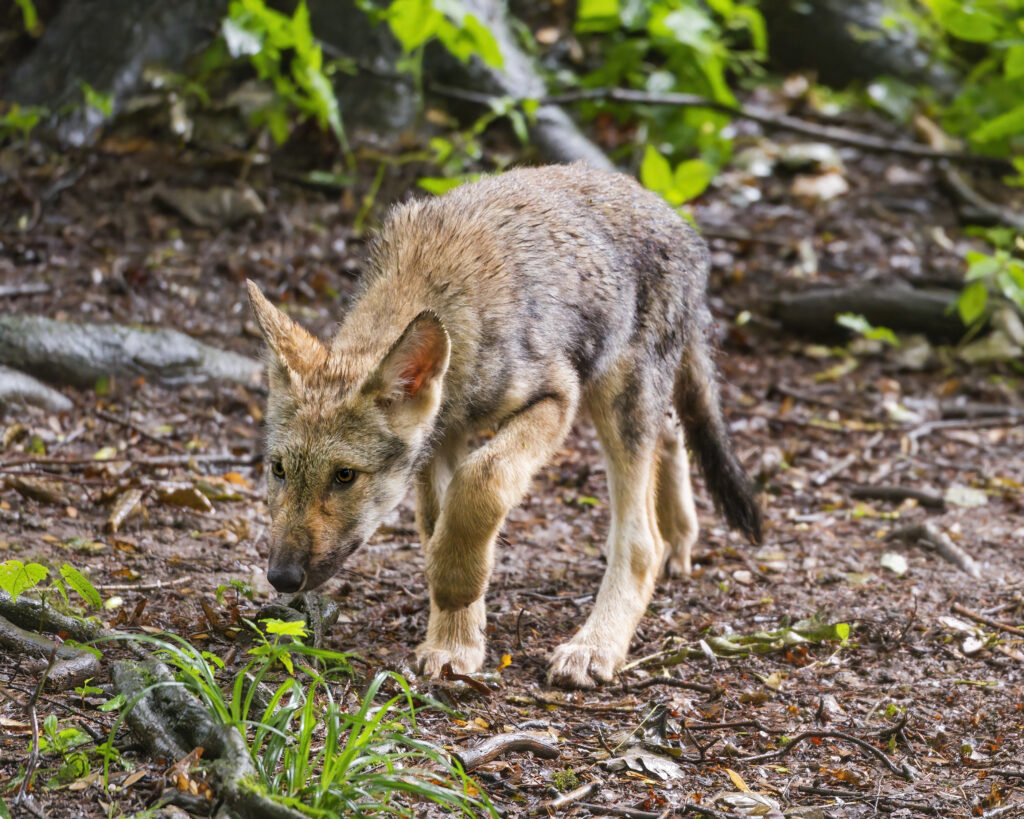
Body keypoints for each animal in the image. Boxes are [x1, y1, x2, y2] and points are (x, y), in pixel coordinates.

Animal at [247, 162, 761, 688]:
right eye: (279, 470)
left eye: (345, 476)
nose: (281, 577)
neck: (446, 296)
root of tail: (674, 216)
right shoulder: (441, 440)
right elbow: (438, 524)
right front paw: (454, 645)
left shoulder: (555, 399)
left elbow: (480, 484)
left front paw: (455, 582)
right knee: (673, 435)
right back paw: (681, 537)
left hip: (616, 401)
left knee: (642, 543)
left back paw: (594, 646)